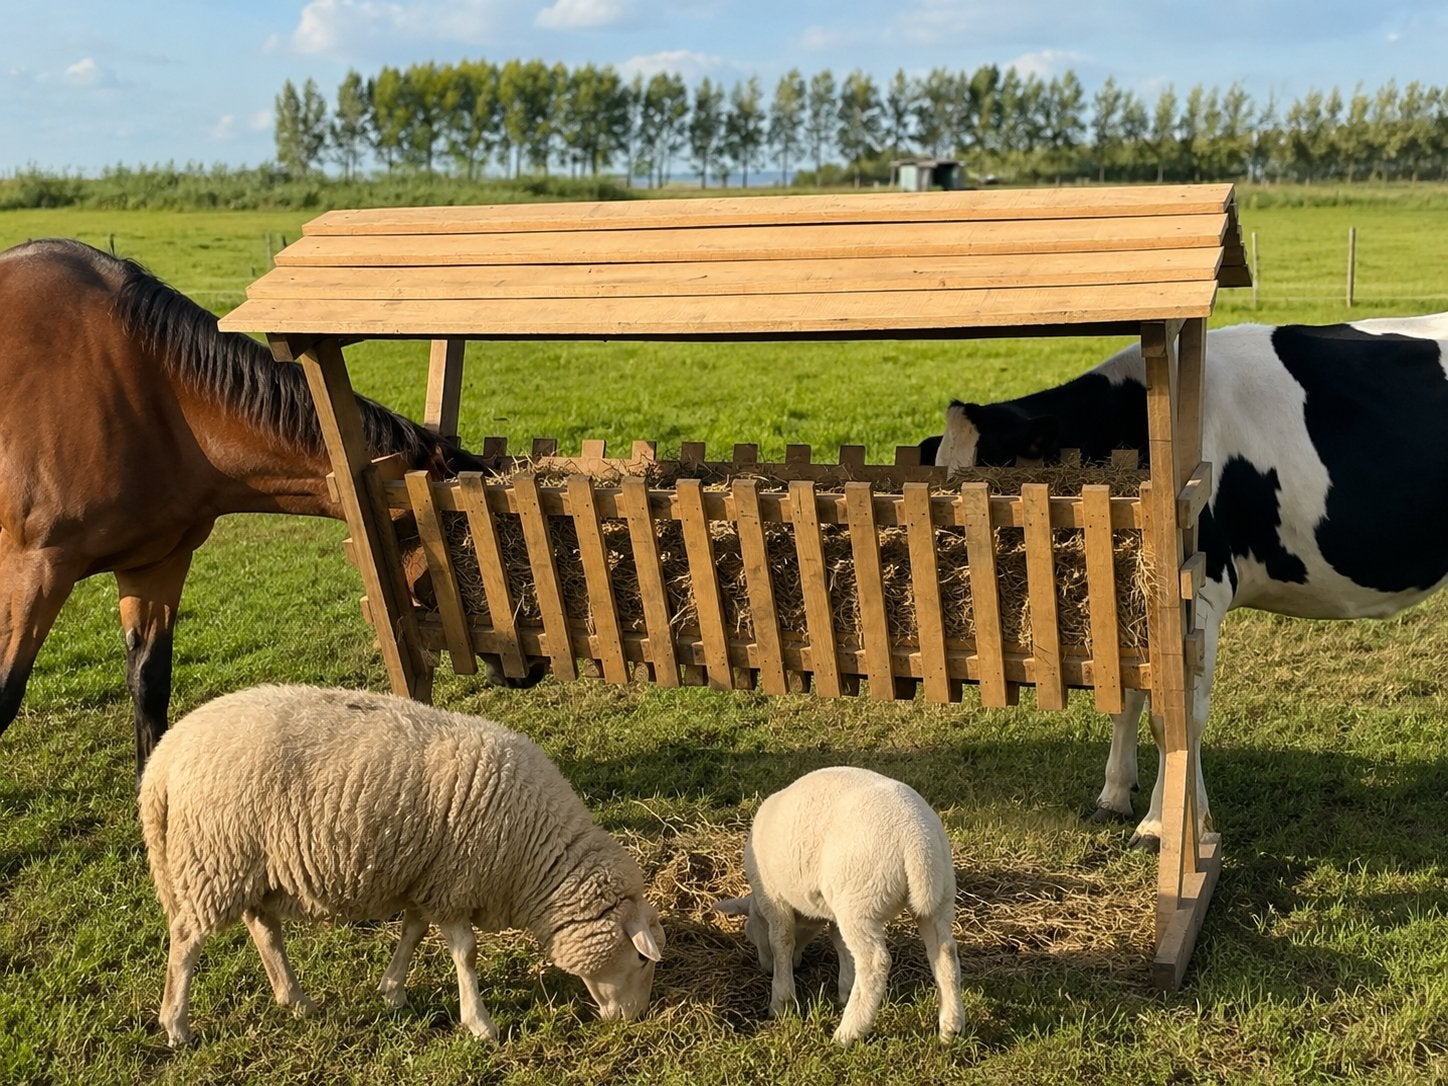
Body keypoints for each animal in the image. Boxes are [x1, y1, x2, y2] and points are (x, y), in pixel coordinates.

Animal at [0, 237, 504, 780]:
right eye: (469, 551)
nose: (527, 667)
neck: (143, 393)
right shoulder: (36, 570)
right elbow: (5, 696)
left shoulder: (157, 564)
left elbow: (150, 683)